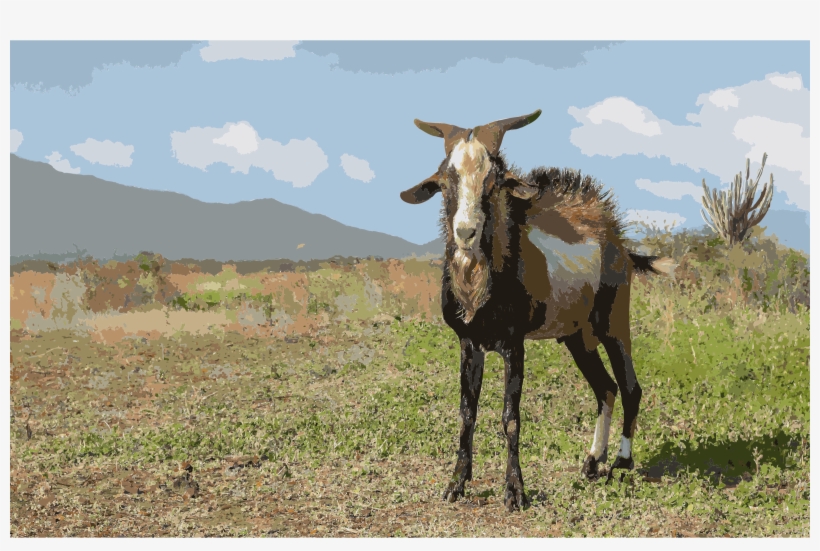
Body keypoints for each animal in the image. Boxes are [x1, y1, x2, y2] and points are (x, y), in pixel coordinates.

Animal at [400, 110, 673, 512]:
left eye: (494, 181)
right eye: (445, 180)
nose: (466, 233)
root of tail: (619, 240)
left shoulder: (514, 344)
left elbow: (510, 416)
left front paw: (515, 492)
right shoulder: (469, 343)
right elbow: (467, 414)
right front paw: (456, 485)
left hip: (613, 321)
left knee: (629, 386)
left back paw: (622, 463)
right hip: (577, 336)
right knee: (605, 388)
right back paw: (592, 462)